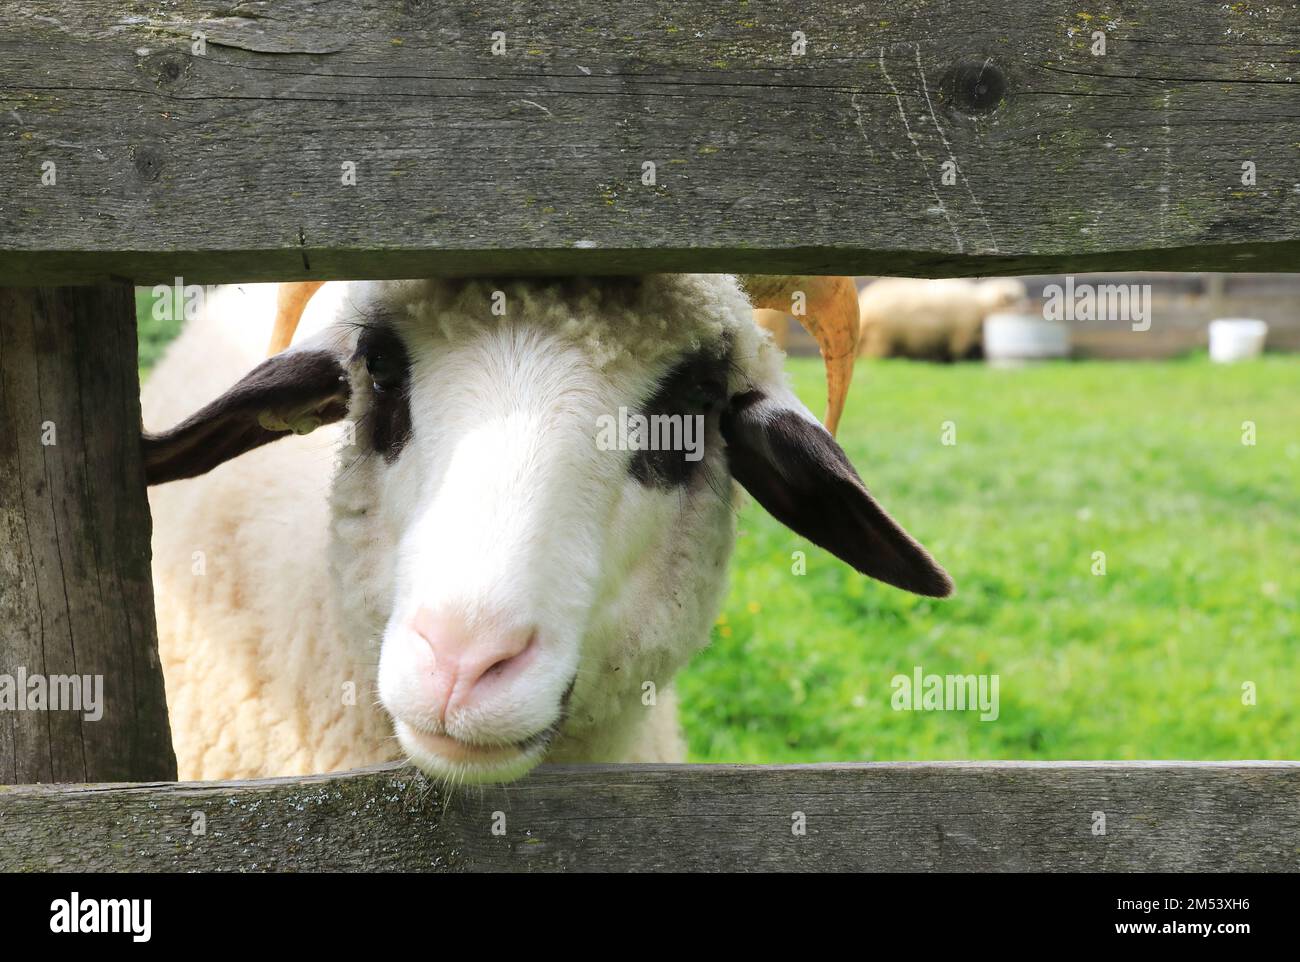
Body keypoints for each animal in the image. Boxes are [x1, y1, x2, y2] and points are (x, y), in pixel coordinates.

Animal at [857, 275, 1029, 361]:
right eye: (1015, 298)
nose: (1026, 309)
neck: (981, 304)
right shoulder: (963, 334)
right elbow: (961, 354)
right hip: (880, 339)